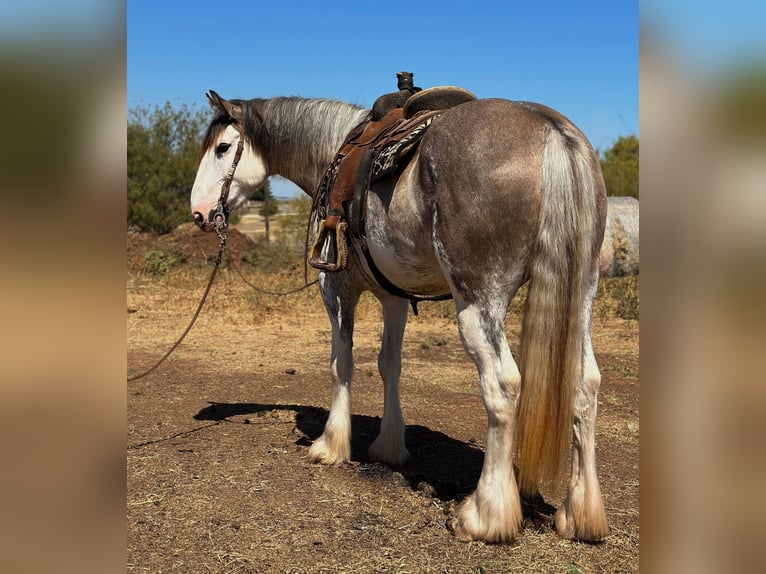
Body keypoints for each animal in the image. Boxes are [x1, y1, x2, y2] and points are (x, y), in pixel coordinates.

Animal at [190, 90, 612, 544]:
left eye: (223, 148)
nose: (199, 213)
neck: (333, 151)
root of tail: (551, 131)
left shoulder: (334, 287)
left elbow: (341, 364)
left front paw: (330, 445)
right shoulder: (393, 299)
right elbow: (389, 364)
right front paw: (389, 446)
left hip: (479, 304)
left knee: (502, 387)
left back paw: (485, 516)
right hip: (581, 297)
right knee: (586, 384)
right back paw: (580, 514)